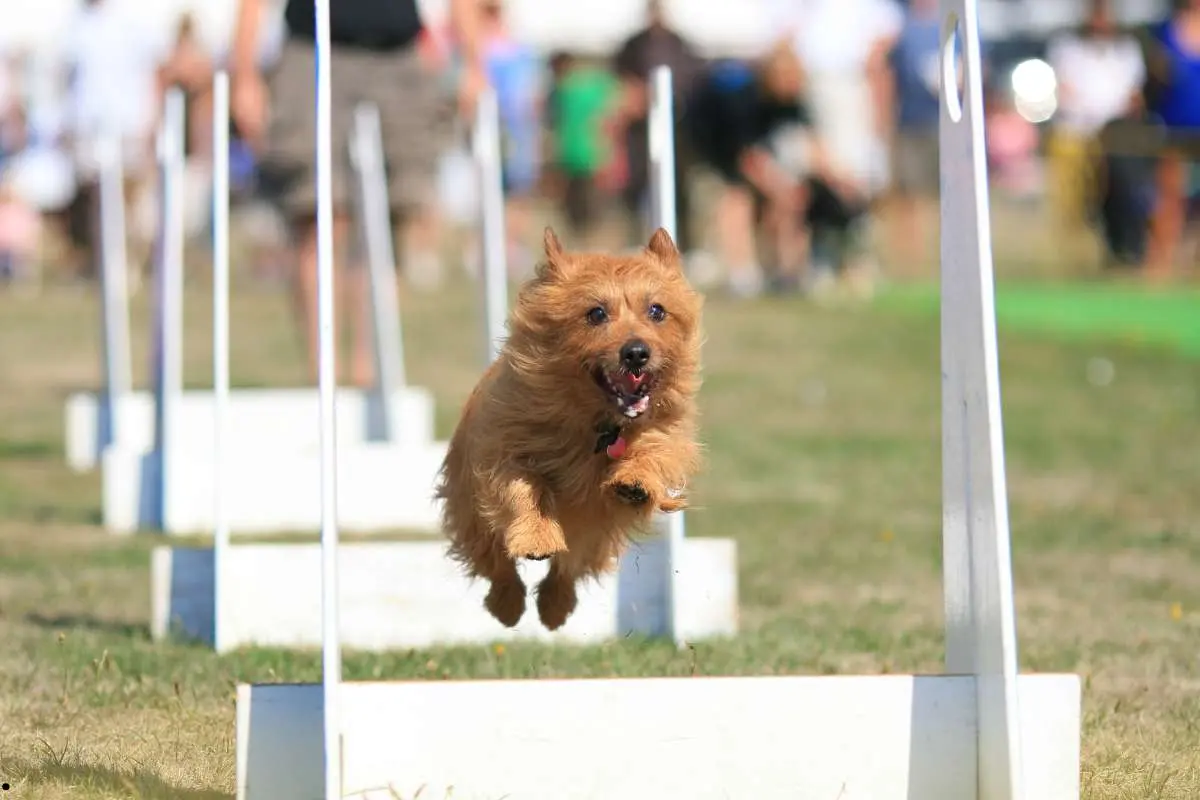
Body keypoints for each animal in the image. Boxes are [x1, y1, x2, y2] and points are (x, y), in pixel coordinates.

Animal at [436, 225, 700, 633]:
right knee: (496, 563)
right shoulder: (504, 448)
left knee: (568, 568)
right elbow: (523, 489)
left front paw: (636, 481)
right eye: (596, 313)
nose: (636, 352)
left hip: (593, 538)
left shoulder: (660, 436)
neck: (599, 424)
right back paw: (507, 605)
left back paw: (554, 606)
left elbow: (656, 452)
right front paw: (536, 535)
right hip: (472, 516)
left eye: (657, 311)